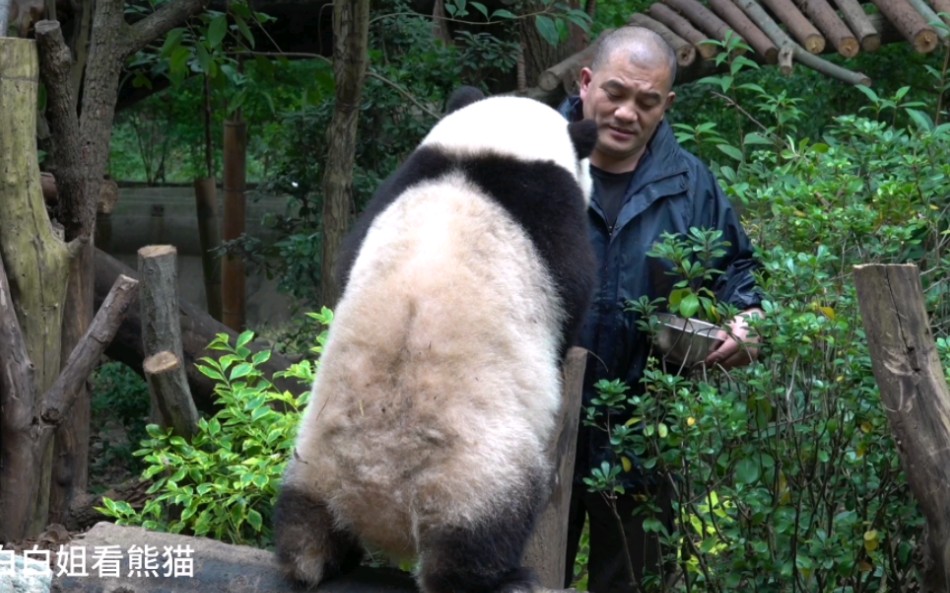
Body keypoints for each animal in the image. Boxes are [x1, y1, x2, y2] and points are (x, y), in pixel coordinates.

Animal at [274, 86, 596, 592]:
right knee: (479, 538)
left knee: (303, 525)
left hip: (312, 460)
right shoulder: (553, 221)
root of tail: (376, 498)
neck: (489, 150)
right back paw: (502, 577)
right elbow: (573, 298)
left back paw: (315, 555)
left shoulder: (393, 188)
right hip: (477, 474)